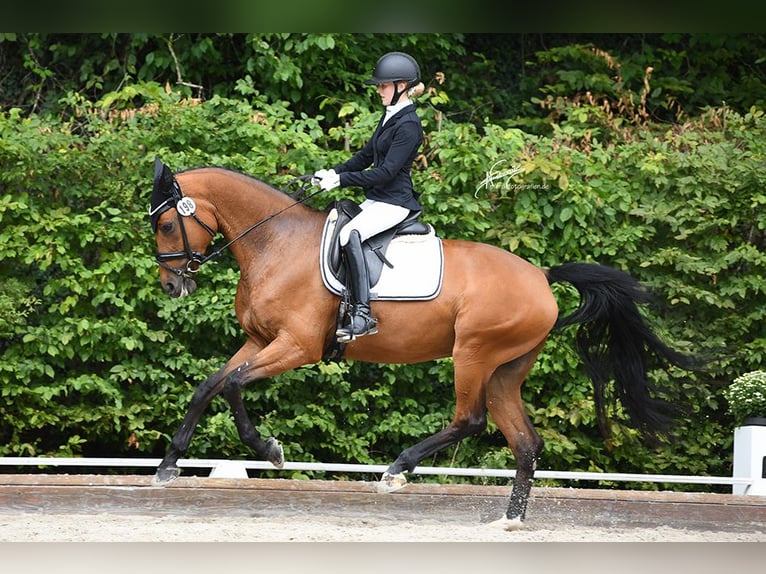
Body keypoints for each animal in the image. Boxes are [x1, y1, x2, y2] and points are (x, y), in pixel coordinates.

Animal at [148, 158, 704, 532]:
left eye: (167, 223)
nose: (172, 286)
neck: (276, 244)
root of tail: (542, 277)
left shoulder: (296, 346)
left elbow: (235, 387)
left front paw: (270, 449)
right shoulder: (259, 340)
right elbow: (209, 386)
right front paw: (169, 466)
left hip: (473, 354)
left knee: (469, 420)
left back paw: (397, 471)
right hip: (505, 370)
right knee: (525, 442)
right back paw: (510, 521)